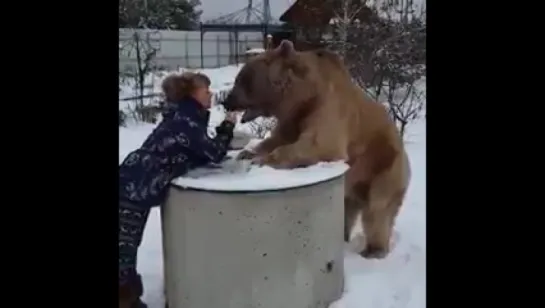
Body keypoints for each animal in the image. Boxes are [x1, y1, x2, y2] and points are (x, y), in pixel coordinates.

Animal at [223, 40, 410, 258]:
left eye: (242, 78)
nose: (227, 101)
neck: (303, 98)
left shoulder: (327, 109)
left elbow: (319, 144)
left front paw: (261, 161)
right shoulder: (292, 121)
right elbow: (275, 140)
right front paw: (247, 153)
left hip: (383, 165)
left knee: (377, 209)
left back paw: (373, 250)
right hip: (354, 183)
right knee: (348, 207)